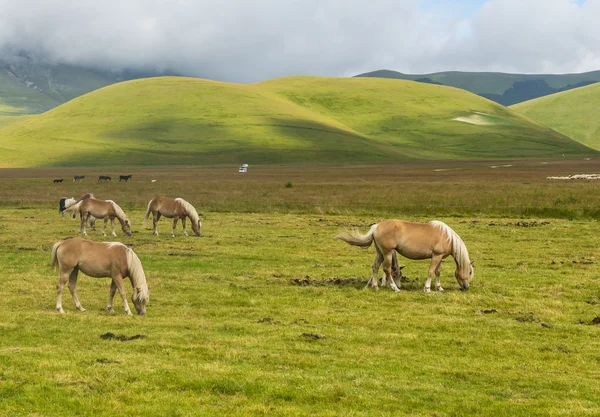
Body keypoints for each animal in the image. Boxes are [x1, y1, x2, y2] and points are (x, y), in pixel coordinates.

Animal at [338, 219, 474, 290]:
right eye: (470, 272)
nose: (466, 287)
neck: (447, 237)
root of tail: (376, 226)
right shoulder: (436, 256)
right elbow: (431, 271)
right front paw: (427, 289)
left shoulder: (439, 257)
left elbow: (437, 272)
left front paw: (439, 288)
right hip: (387, 253)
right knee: (387, 269)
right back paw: (395, 288)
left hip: (380, 253)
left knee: (375, 267)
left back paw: (375, 286)